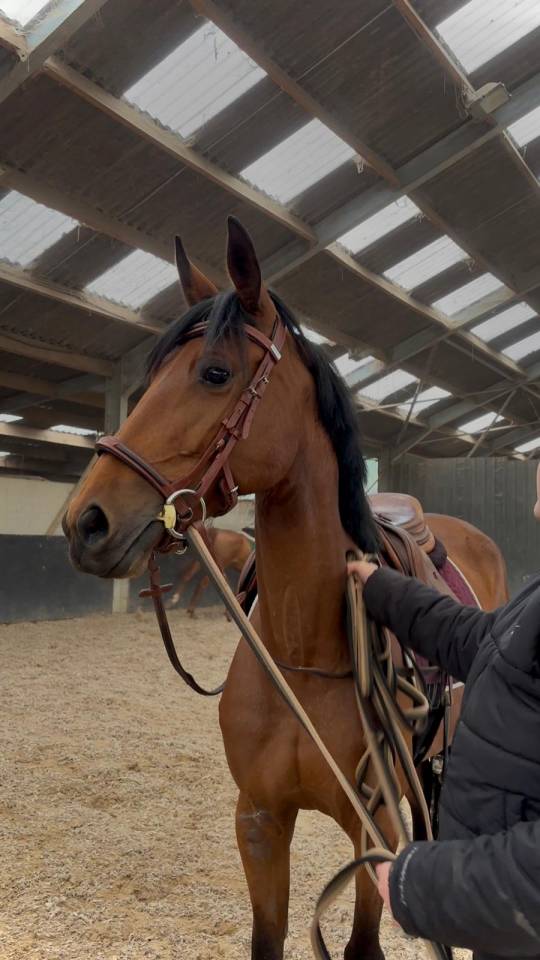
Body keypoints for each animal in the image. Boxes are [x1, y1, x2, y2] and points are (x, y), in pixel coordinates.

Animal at [63, 217, 508, 960]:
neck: (305, 656)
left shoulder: (375, 831)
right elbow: (265, 938)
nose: (85, 521)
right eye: (146, 381)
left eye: (215, 373)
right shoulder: (261, 819)